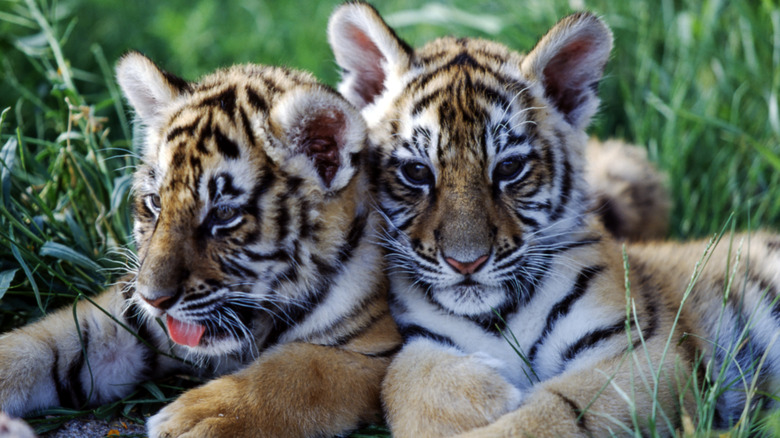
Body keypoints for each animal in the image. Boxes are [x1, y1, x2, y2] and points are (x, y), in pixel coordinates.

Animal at [0, 51, 402, 438]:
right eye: (155, 202)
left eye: (223, 213)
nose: (152, 299)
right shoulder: (123, 321)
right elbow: (35, 344)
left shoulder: (384, 352)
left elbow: (301, 369)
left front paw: (195, 418)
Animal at [328, 3, 780, 437]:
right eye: (417, 172)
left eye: (509, 168)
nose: (466, 263)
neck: (497, 318)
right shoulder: (416, 337)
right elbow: (401, 383)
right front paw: (480, 393)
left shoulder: (645, 351)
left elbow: (550, 415)